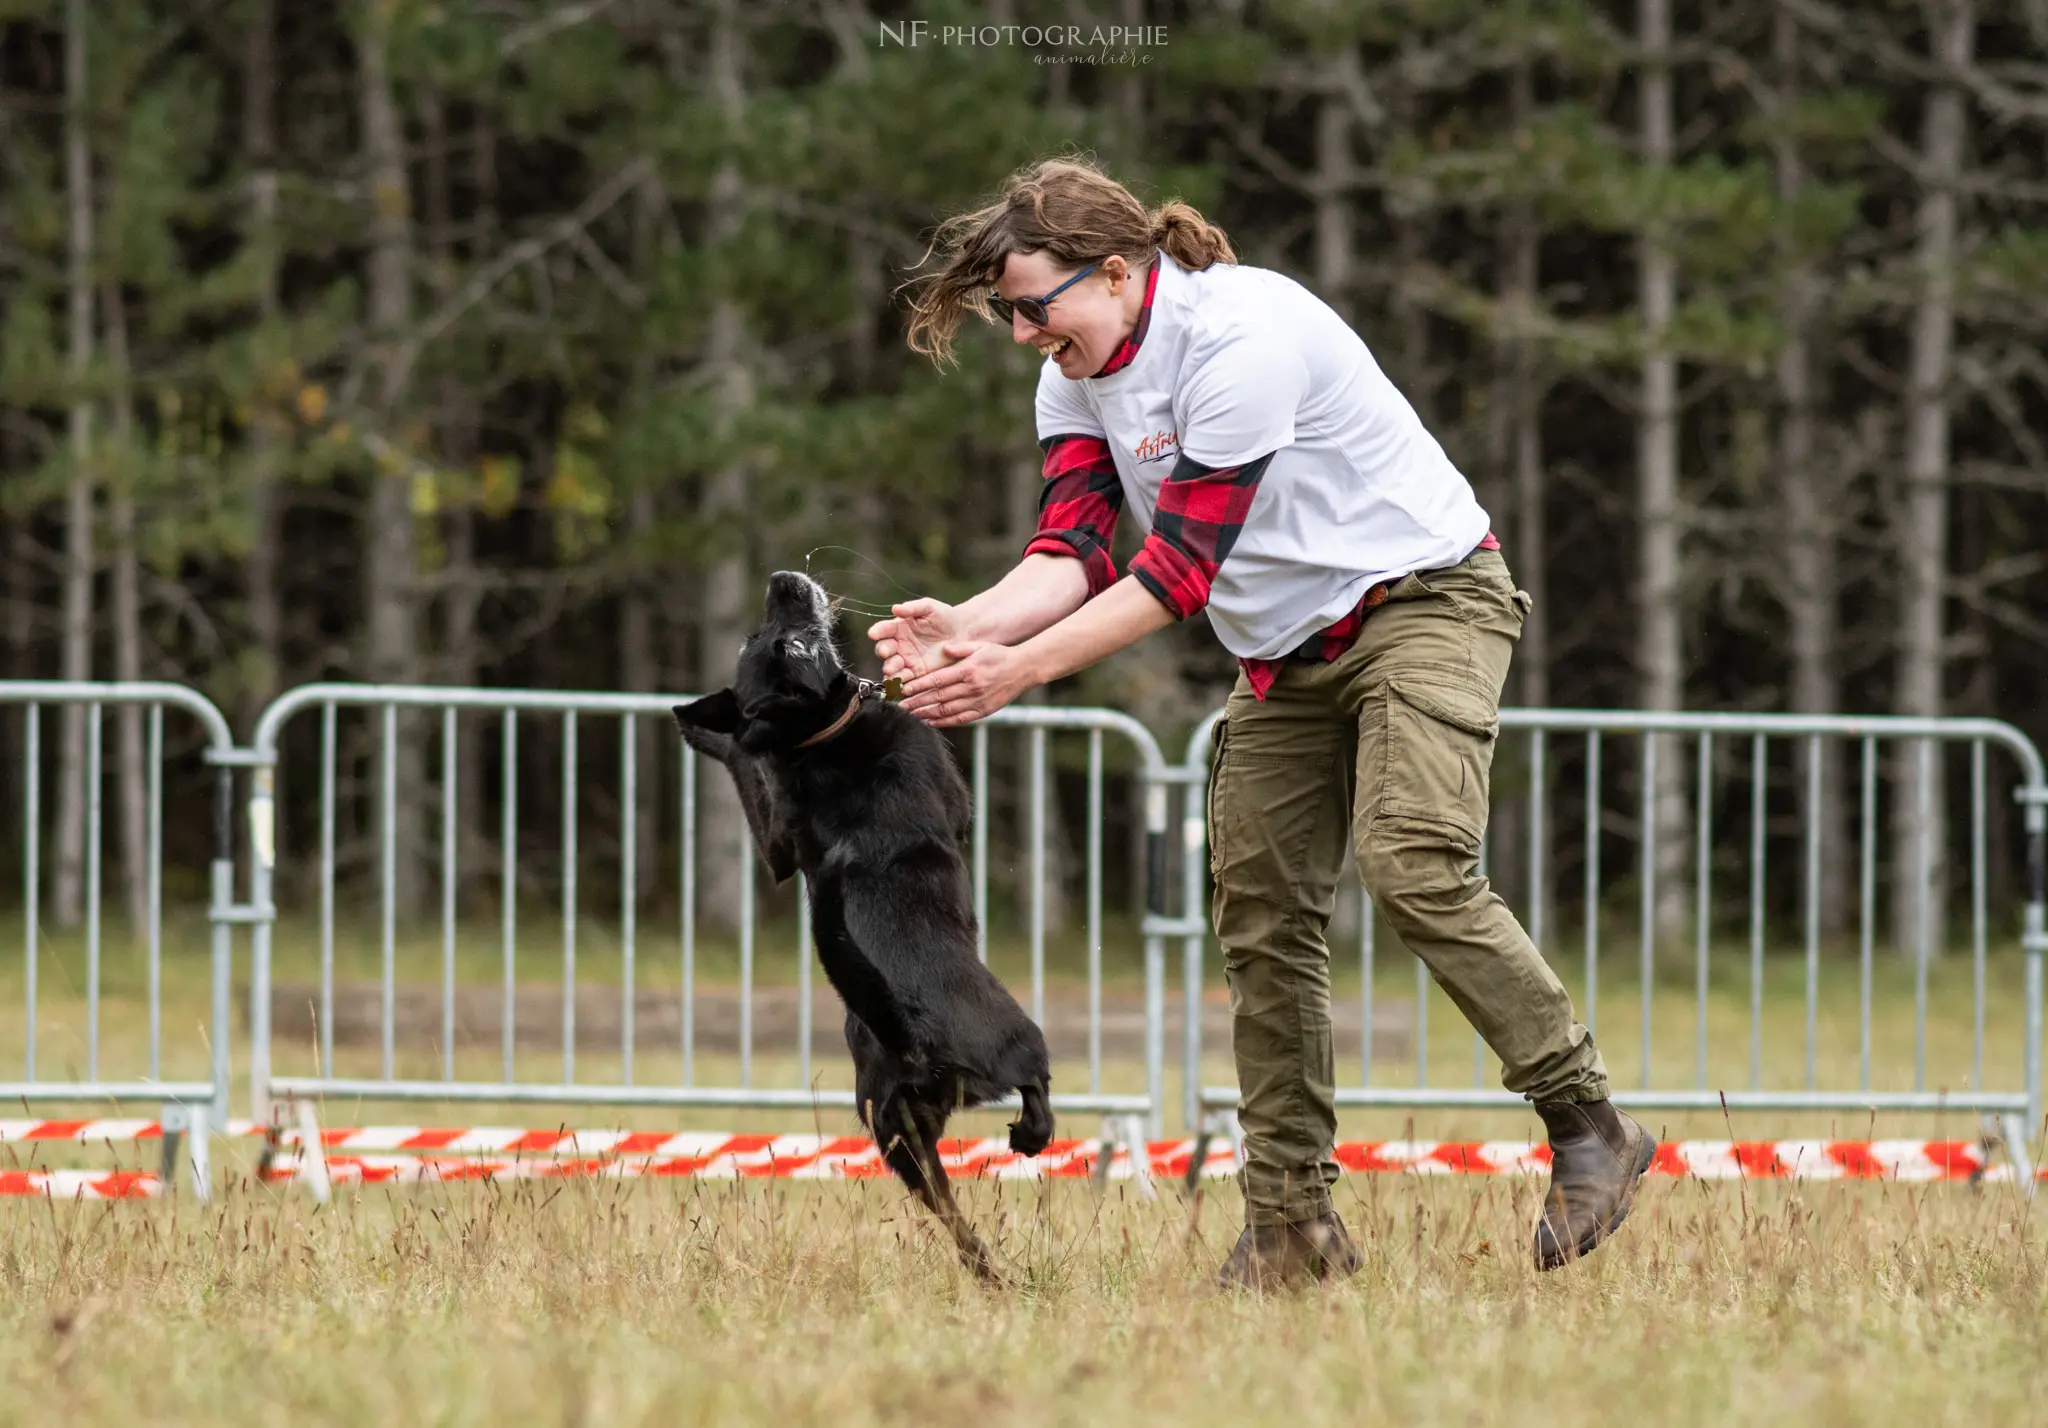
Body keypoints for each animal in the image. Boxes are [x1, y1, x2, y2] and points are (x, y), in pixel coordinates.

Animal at [675, 569, 1056, 1278]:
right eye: (796, 644)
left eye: (763, 637)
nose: (783, 580)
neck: (821, 737)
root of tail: (908, 1035)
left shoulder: (777, 847)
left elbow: (746, 766)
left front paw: (707, 733)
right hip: (1012, 1037)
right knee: (1035, 1083)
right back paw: (1031, 1135)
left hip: (895, 1138)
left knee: (952, 1218)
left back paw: (990, 1275)